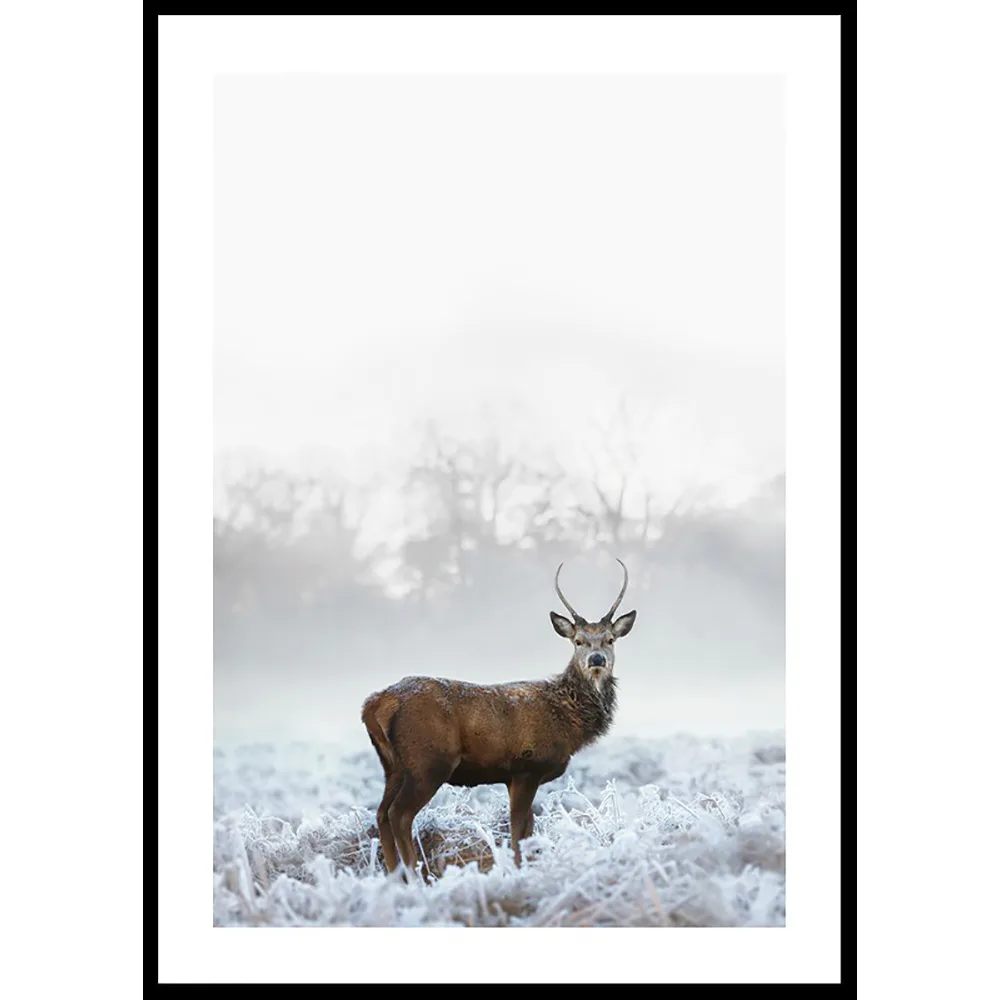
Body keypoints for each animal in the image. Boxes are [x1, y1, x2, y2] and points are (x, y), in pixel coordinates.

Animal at [361, 558, 637, 877]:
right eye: (578, 641)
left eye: (610, 640)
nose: (596, 660)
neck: (569, 722)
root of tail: (375, 704)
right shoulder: (527, 766)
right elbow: (518, 830)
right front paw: (518, 871)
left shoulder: (514, 776)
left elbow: (527, 828)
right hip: (428, 761)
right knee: (399, 814)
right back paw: (415, 874)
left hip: (393, 766)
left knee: (381, 813)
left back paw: (395, 877)